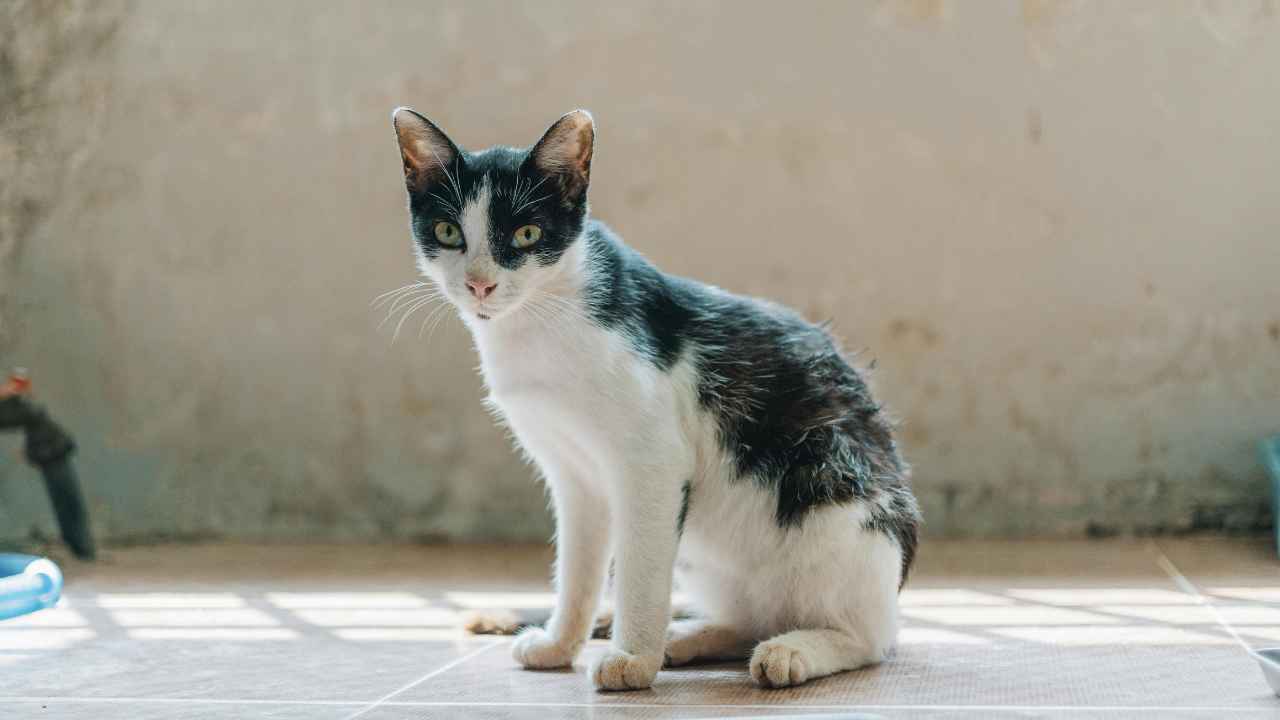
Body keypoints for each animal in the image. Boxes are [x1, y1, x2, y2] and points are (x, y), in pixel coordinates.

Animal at [389, 107, 921, 691]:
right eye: (448, 232)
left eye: (527, 234)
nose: (480, 285)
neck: (541, 322)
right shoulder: (575, 479)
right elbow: (577, 570)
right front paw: (561, 644)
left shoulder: (653, 462)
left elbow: (638, 570)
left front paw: (633, 661)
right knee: (750, 619)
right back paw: (689, 638)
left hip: (840, 507)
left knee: (869, 638)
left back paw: (791, 651)